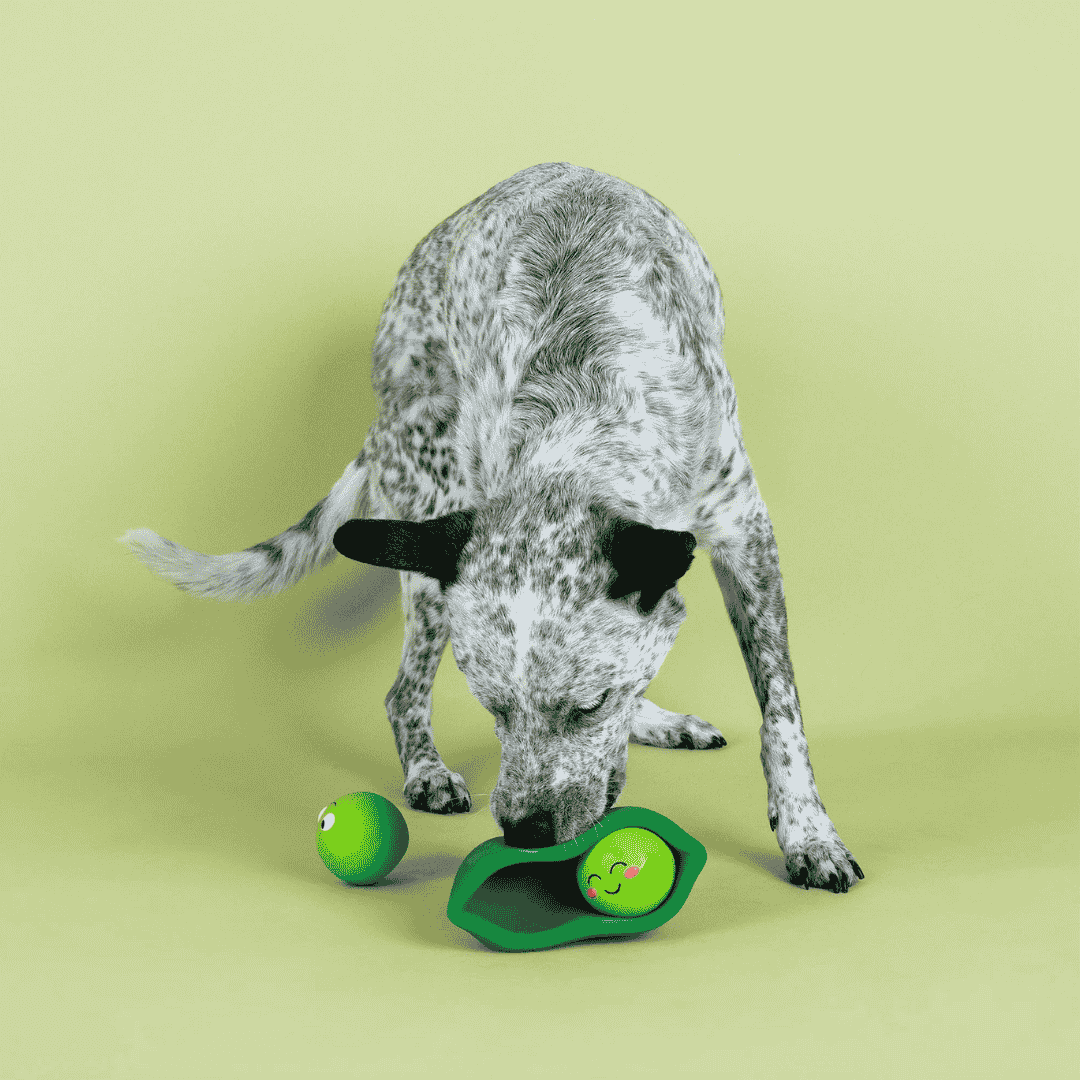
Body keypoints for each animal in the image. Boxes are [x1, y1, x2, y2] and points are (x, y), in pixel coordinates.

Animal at [121, 163, 862, 892]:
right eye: (493, 708)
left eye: (589, 705)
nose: (525, 832)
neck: (583, 423)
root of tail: (380, 413)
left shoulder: (745, 532)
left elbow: (779, 711)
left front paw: (808, 833)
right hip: (427, 530)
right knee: (401, 694)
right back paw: (426, 770)